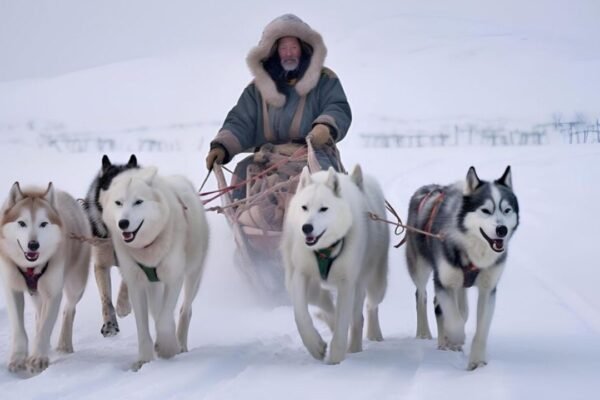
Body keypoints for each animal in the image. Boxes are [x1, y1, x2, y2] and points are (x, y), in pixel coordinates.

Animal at [0, 183, 90, 374]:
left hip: (75, 285)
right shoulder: (12, 288)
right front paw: (18, 358)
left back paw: (64, 345)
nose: (33, 245)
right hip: (37, 294)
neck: (31, 268)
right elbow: (19, 329)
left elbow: (46, 326)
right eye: (22, 223)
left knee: (68, 309)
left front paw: (38, 358)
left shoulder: (53, 292)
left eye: (43, 224)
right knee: (39, 312)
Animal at [101, 166, 209, 372]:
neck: (148, 247)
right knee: (158, 308)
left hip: (194, 275)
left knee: (185, 309)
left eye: (138, 202)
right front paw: (144, 359)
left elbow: (164, 320)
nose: (123, 223)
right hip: (153, 285)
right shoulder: (136, 284)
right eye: (118, 203)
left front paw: (168, 347)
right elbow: (143, 326)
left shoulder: (174, 278)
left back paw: (180, 343)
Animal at [282, 166, 390, 366]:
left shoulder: (346, 282)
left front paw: (336, 358)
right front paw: (315, 345)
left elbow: (343, 322)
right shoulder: (300, 274)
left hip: (374, 283)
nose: (306, 228)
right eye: (304, 207)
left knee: (366, 310)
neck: (324, 250)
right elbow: (301, 315)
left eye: (323, 209)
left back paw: (366, 339)